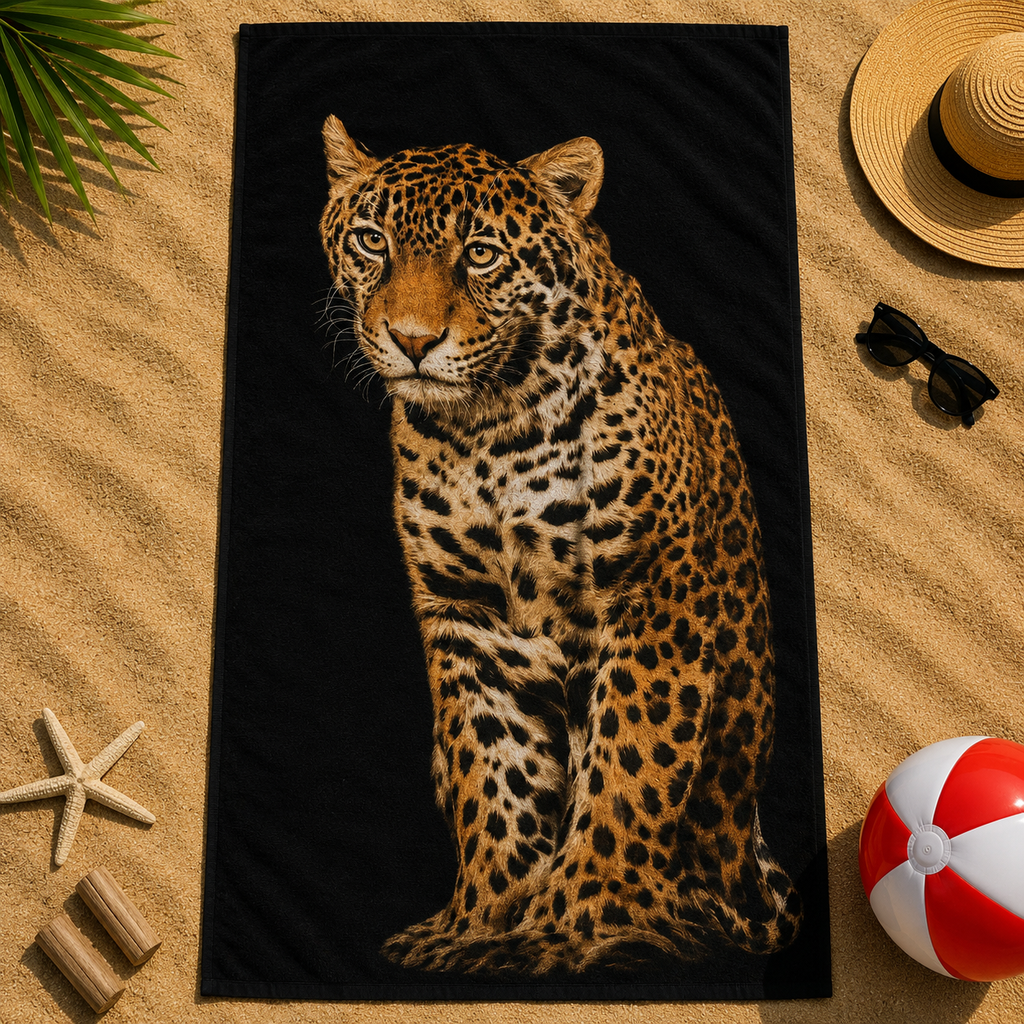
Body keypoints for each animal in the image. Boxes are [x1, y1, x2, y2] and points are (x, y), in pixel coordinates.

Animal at [319, 114, 802, 976]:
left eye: (480, 254)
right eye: (372, 241)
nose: (411, 340)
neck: (490, 429)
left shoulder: (652, 599)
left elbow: (631, 764)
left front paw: (578, 919)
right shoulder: (465, 615)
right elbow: (491, 773)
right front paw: (481, 922)